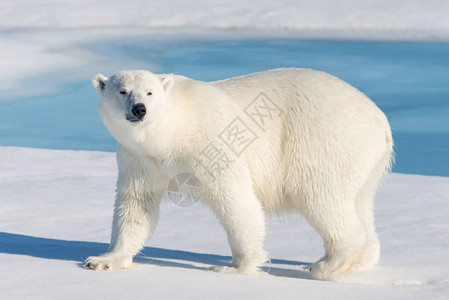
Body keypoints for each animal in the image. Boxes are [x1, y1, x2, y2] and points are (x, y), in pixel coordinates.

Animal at [84, 68, 392, 282]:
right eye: (122, 91)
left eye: (149, 92)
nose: (139, 109)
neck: (172, 133)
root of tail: (380, 119)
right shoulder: (140, 159)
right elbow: (136, 205)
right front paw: (103, 260)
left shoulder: (211, 142)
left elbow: (235, 199)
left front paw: (234, 267)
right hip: (364, 160)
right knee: (360, 202)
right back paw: (362, 260)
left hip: (323, 142)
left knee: (321, 198)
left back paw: (324, 265)